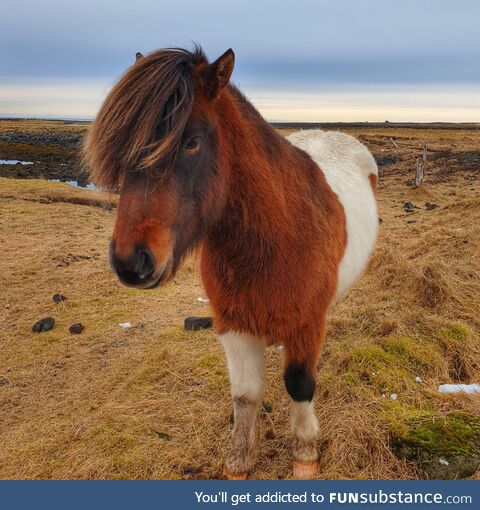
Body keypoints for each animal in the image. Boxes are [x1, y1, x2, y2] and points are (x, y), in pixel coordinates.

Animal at [83, 45, 378, 480]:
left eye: (191, 142)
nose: (130, 260)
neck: (275, 238)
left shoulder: (307, 323)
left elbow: (300, 384)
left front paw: (305, 454)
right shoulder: (234, 322)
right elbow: (245, 394)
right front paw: (240, 459)